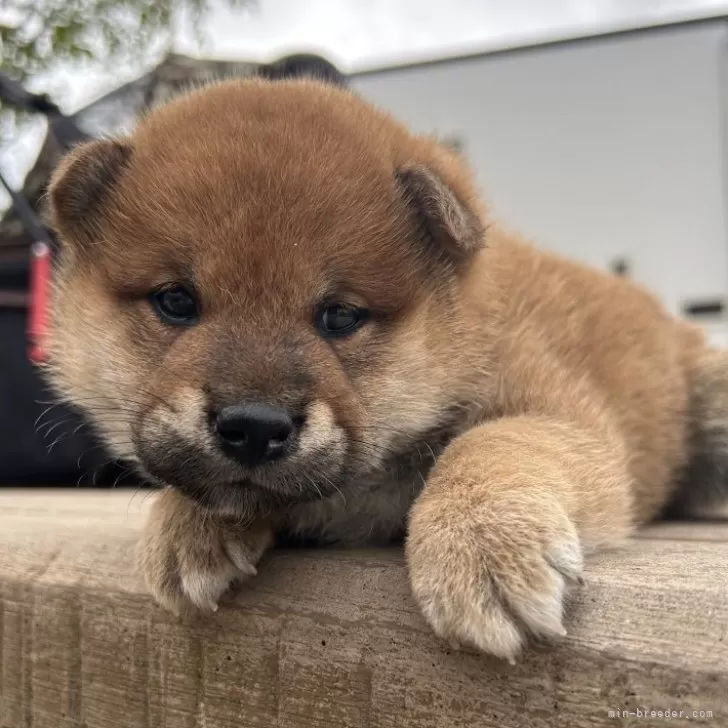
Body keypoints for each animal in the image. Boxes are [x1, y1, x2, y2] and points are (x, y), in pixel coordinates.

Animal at [45, 78, 728, 660]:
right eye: (176, 302)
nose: (254, 427)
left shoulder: (558, 414)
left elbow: (495, 441)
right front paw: (188, 524)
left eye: (340, 316)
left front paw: (482, 544)